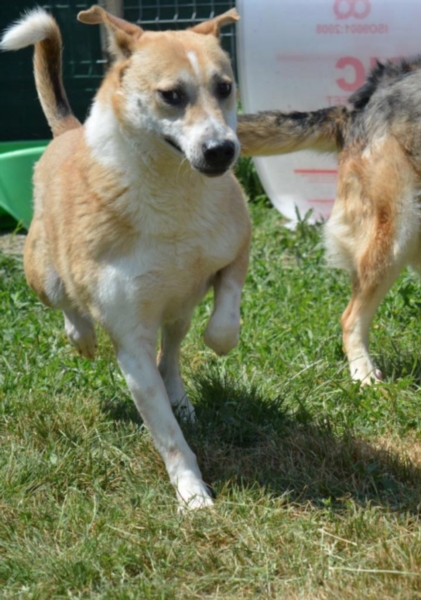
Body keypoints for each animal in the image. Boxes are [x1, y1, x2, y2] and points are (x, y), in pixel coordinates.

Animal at [1, 6, 250, 509]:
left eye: (224, 87)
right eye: (171, 95)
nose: (222, 150)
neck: (173, 191)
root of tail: (68, 132)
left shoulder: (238, 244)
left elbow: (225, 314)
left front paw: (218, 341)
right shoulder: (130, 339)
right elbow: (168, 437)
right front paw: (192, 494)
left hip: (178, 312)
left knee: (171, 354)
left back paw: (180, 397)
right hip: (43, 271)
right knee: (67, 304)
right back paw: (81, 336)